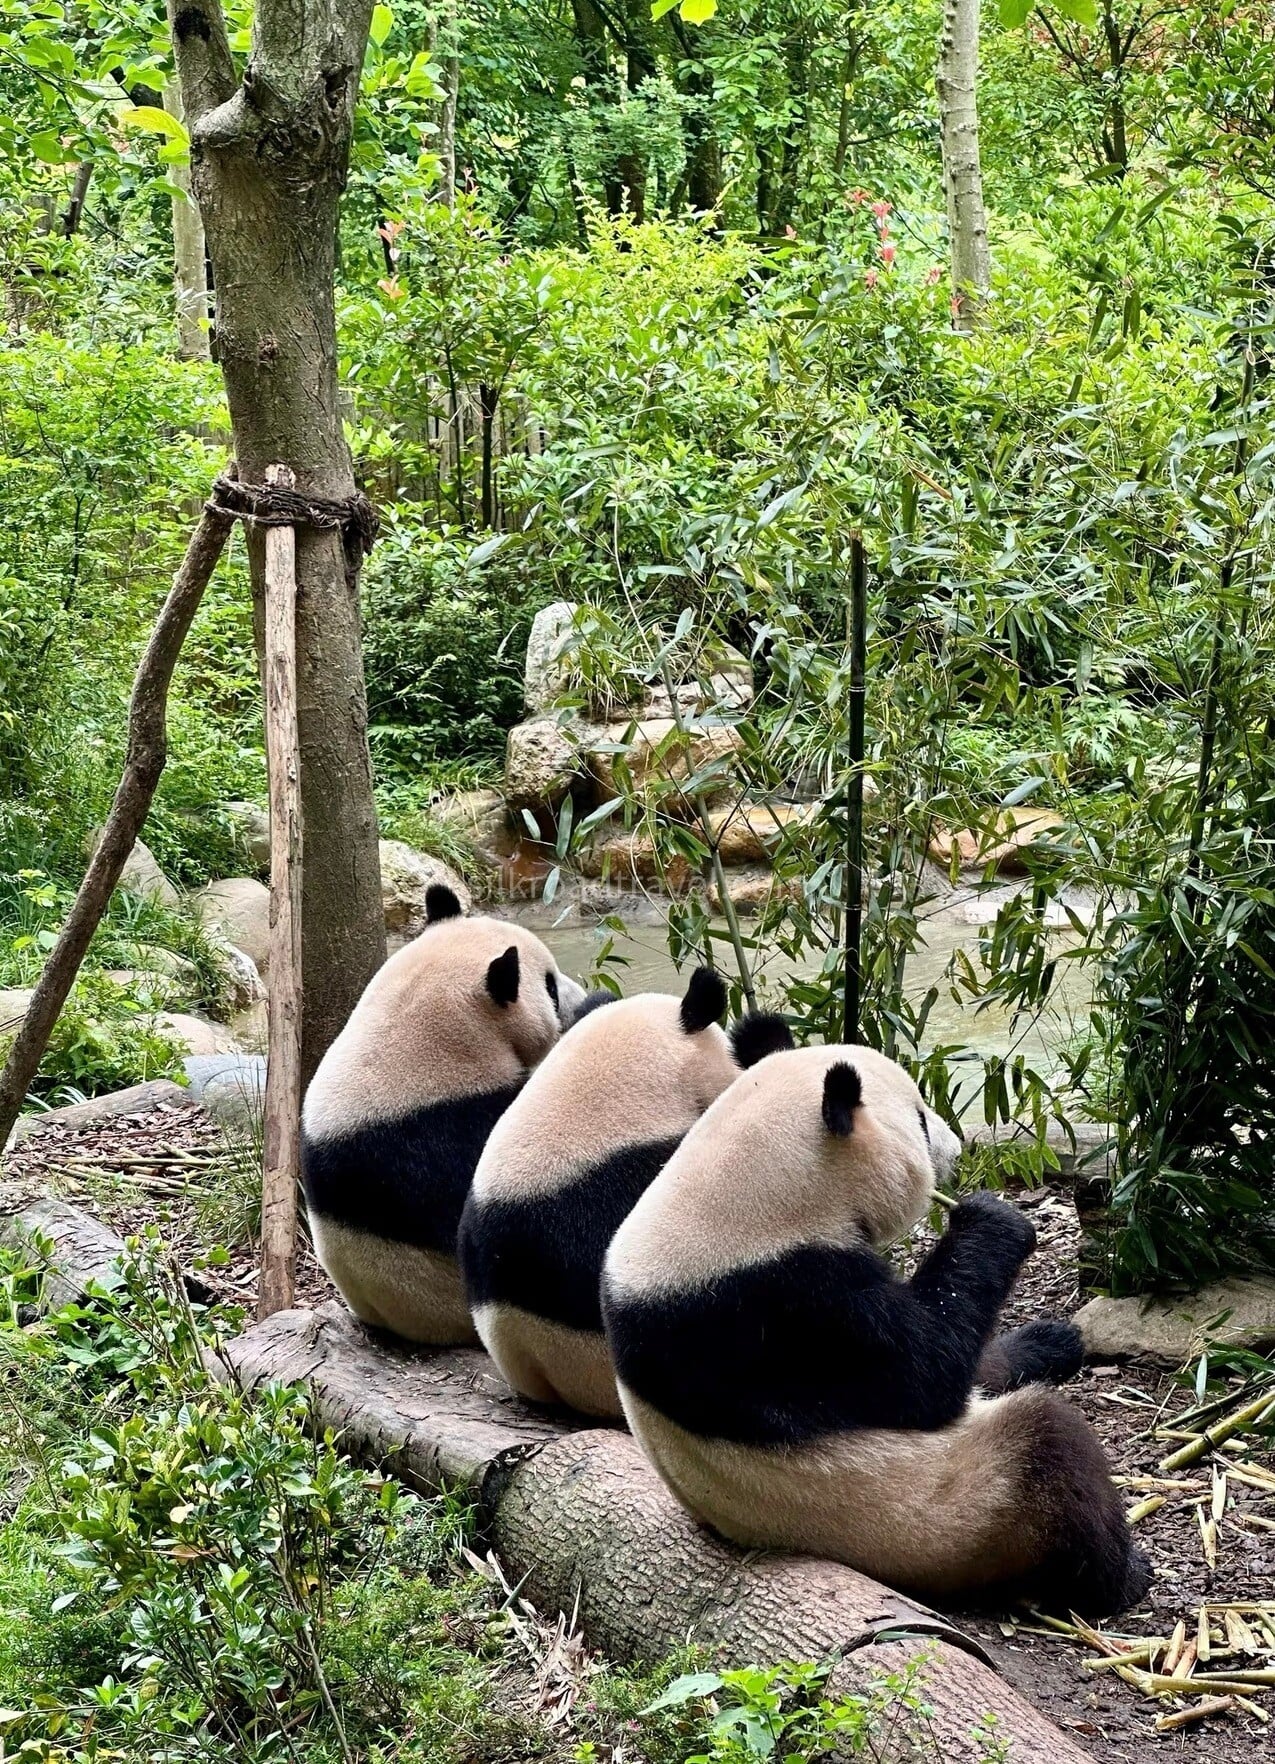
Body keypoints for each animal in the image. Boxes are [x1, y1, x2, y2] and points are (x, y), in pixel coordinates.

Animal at [602, 1043, 1149, 1615]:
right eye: (921, 1119)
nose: (958, 1152)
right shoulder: (786, 1307)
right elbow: (925, 1374)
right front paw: (993, 1218)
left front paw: (1047, 1340)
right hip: (946, 1514)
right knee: (1051, 1451)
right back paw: (1121, 1574)